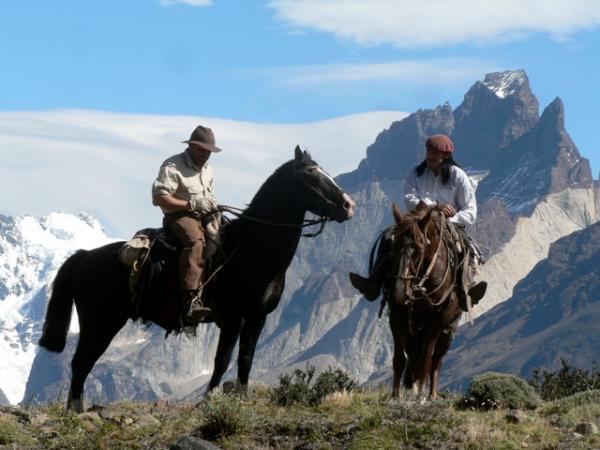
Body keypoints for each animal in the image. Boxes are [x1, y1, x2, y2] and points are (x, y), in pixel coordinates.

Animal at [38, 148, 356, 412]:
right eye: (310, 176)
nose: (348, 205)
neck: (250, 251)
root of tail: (84, 256)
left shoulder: (257, 317)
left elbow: (246, 360)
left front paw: (241, 399)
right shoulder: (234, 318)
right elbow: (223, 360)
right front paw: (208, 399)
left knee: (82, 364)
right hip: (100, 323)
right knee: (81, 363)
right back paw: (74, 413)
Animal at [386, 202, 462, 400]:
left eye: (419, 248)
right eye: (394, 245)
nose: (399, 292)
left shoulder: (438, 321)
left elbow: (426, 358)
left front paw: (421, 395)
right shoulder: (397, 316)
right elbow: (399, 358)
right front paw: (395, 396)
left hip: (447, 330)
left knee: (435, 361)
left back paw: (431, 394)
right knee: (413, 356)